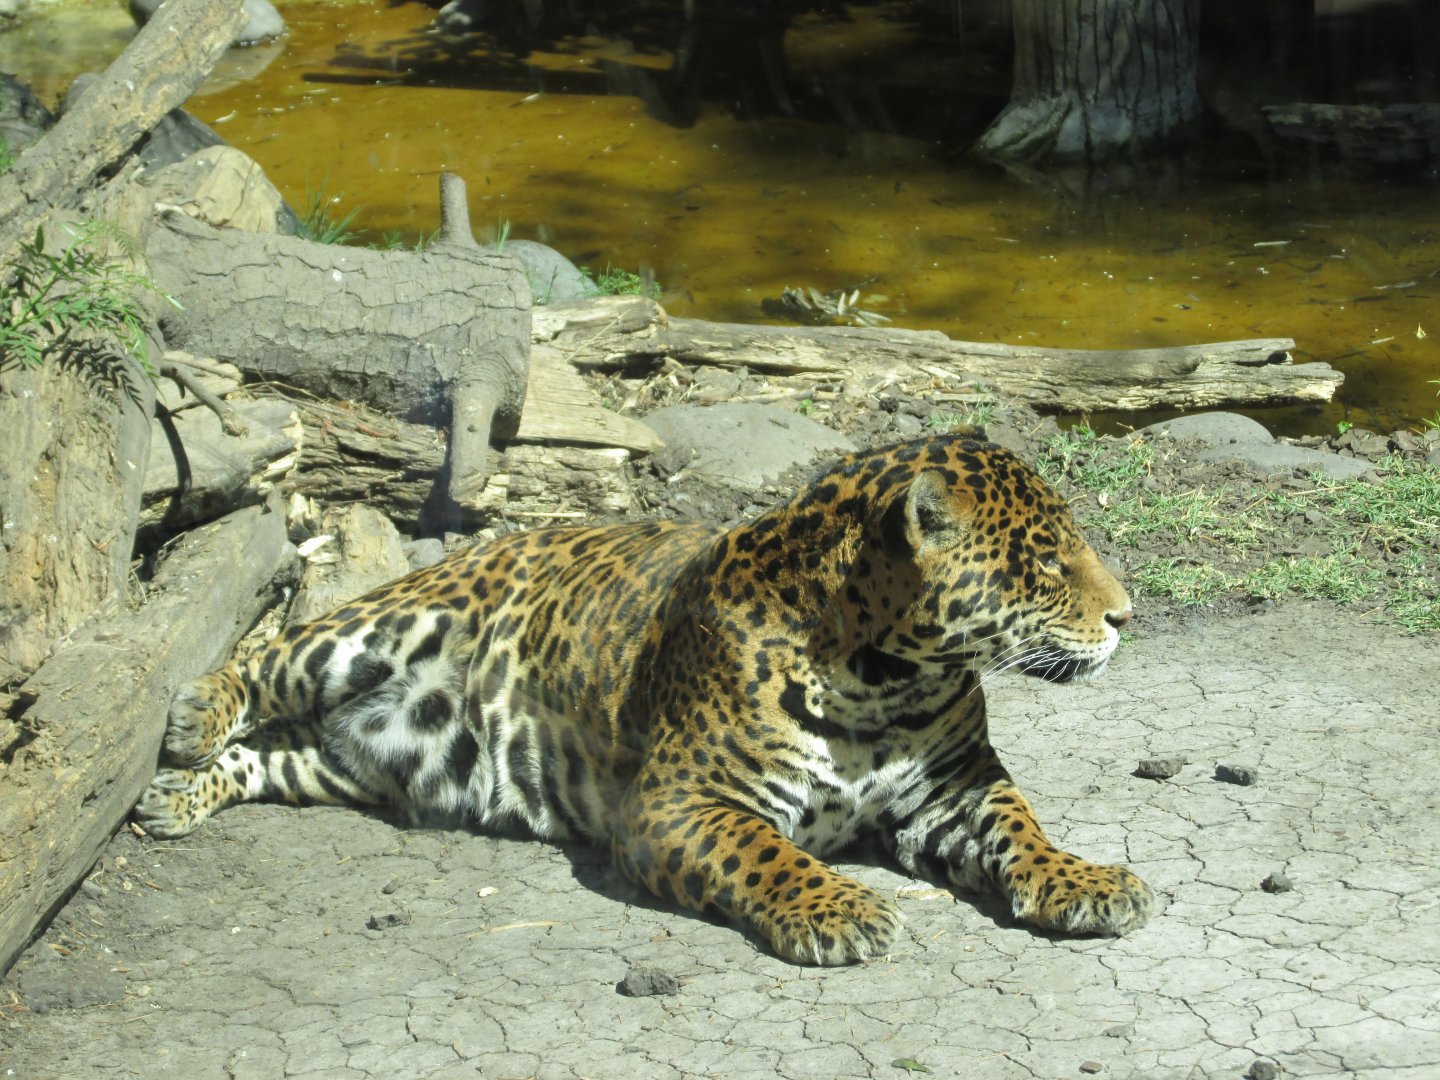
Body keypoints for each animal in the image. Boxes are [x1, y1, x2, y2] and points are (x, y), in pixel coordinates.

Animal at [136, 434, 1154, 965]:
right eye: (1047, 563)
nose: (1127, 615)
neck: (888, 680)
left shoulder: (955, 785)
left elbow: (1021, 826)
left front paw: (1084, 881)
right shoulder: (680, 803)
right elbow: (766, 854)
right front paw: (837, 908)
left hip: (375, 762)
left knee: (276, 752)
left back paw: (174, 797)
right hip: (381, 626)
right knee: (271, 657)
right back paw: (189, 722)